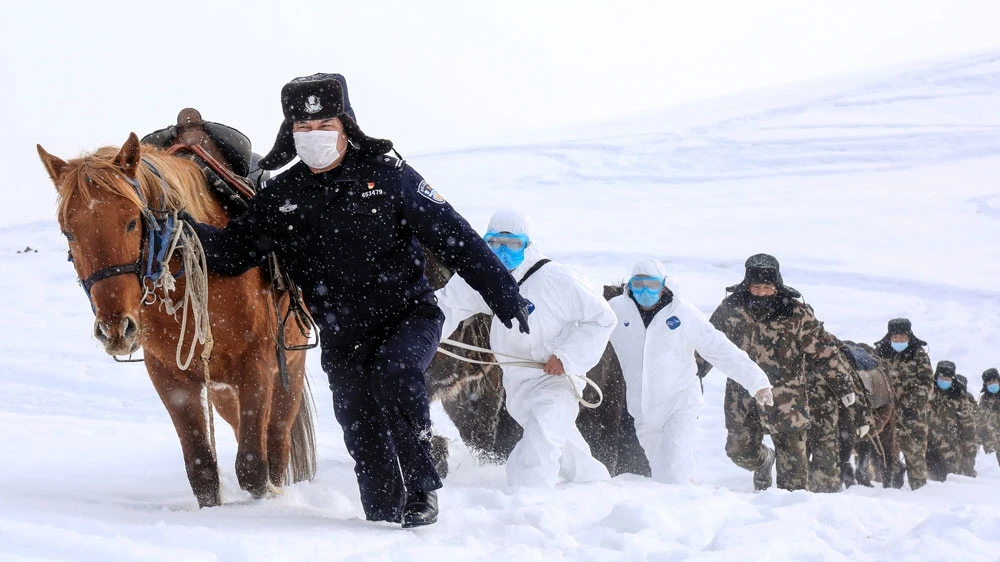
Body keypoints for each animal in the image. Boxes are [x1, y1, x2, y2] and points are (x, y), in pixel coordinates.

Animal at [37, 133, 316, 508]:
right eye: (69, 232)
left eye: (131, 221)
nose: (115, 329)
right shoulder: (170, 377)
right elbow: (202, 470)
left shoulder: (255, 364)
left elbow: (253, 468)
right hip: (223, 392)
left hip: (288, 369)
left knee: (276, 439)